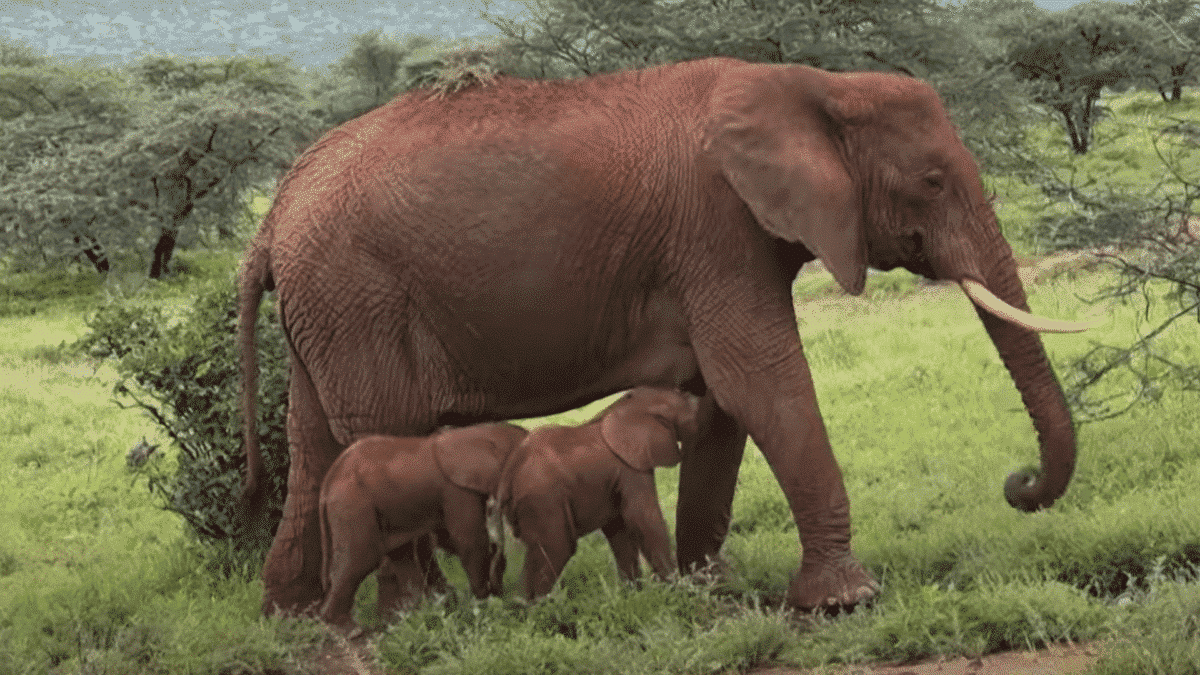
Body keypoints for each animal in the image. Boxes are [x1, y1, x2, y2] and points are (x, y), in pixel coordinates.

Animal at [317, 422, 527, 631]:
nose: (500, 590)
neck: (480, 432)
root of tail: (327, 483)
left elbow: (449, 539)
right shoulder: (455, 490)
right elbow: (469, 541)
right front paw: (485, 603)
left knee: (401, 554)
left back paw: (415, 615)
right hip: (353, 503)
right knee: (362, 558)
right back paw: (352, 630)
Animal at [499, 387, 699, 600]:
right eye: (686, 401)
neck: (625, 405)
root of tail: (509, 474)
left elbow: (619, 529)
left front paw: (632, 596)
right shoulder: (630, 467)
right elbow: (642, 518)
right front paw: (679, 590)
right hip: (543, 499)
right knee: (557, 547)